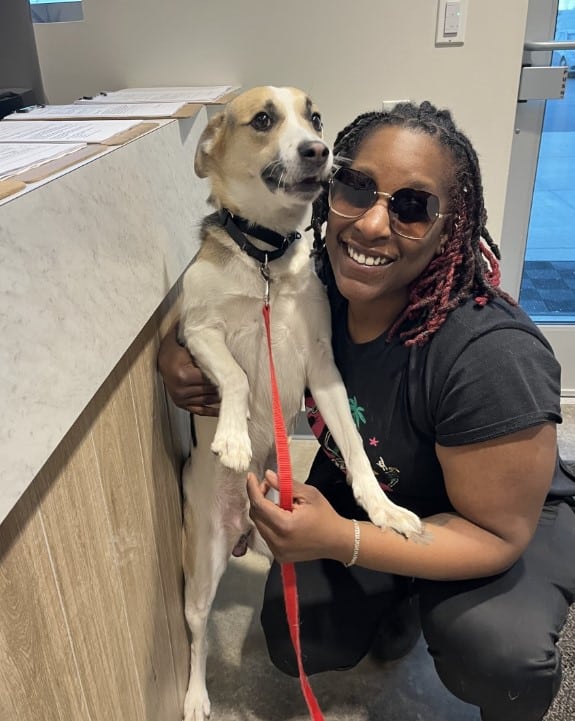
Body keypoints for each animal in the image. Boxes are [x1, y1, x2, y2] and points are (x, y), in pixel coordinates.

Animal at [178, 86, 420, 720]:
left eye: (314, 117)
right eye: (263, 119)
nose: (319, 150)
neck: (264, 260)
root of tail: (245, 526)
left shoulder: (322, 367)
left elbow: (356, 449)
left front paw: (383, 511)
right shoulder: (198, 333)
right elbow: (236, 377)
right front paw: (233, 437)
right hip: (202, 566)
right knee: (196, 635)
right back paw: (194, 696)